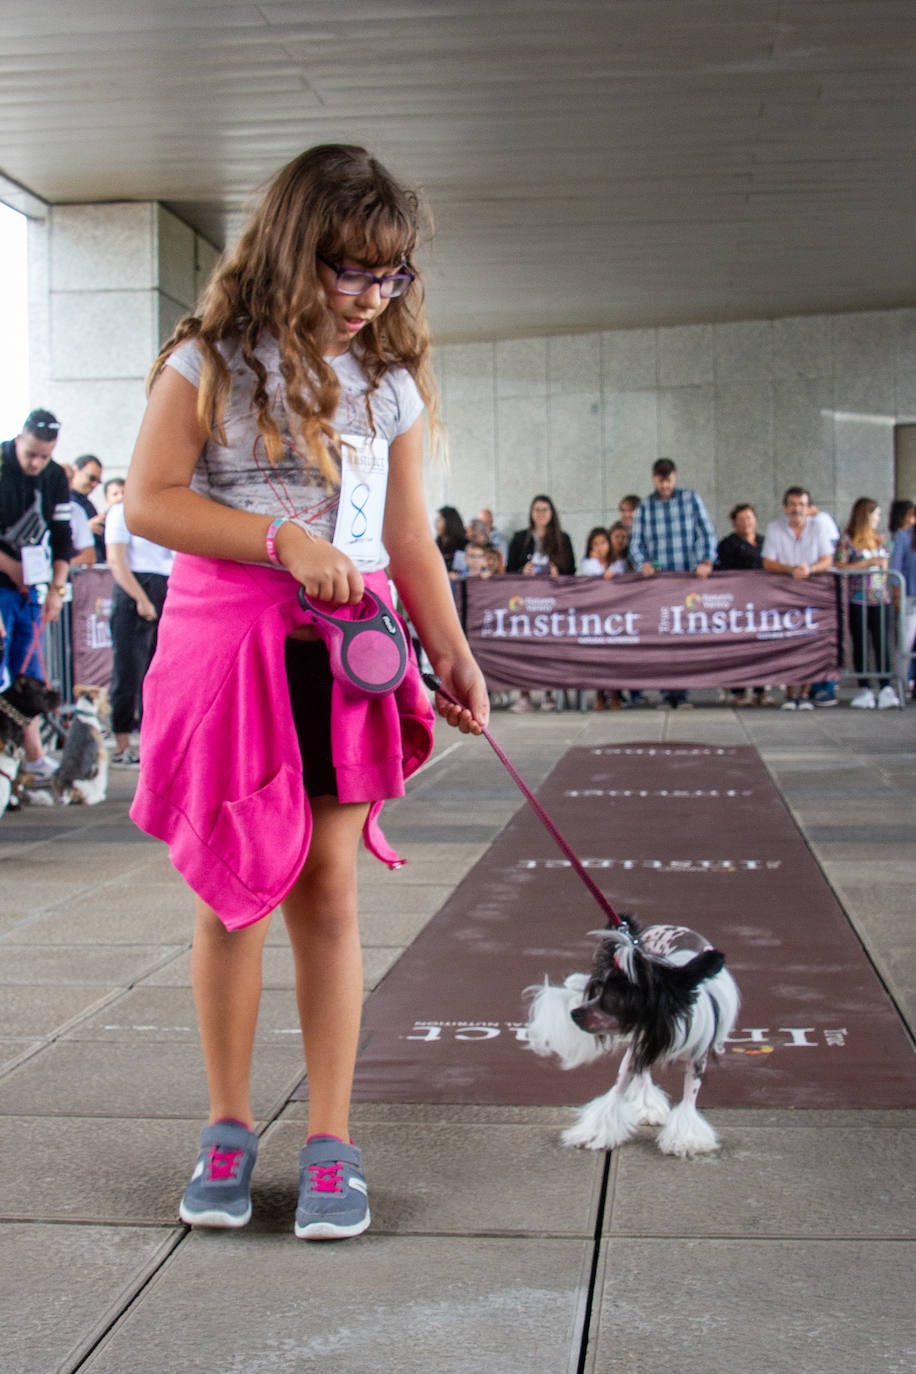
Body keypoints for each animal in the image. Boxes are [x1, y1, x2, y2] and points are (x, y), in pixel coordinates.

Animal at [527, 917, 741, 1154]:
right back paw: (647, 1106)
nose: (574, 1014)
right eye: (598, 989)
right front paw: (594, 1133)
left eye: (614, 998)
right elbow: (616, 1093)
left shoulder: (696, 1060)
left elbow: (688, 1098)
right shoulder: (640, 1045)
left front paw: (685, 1140)